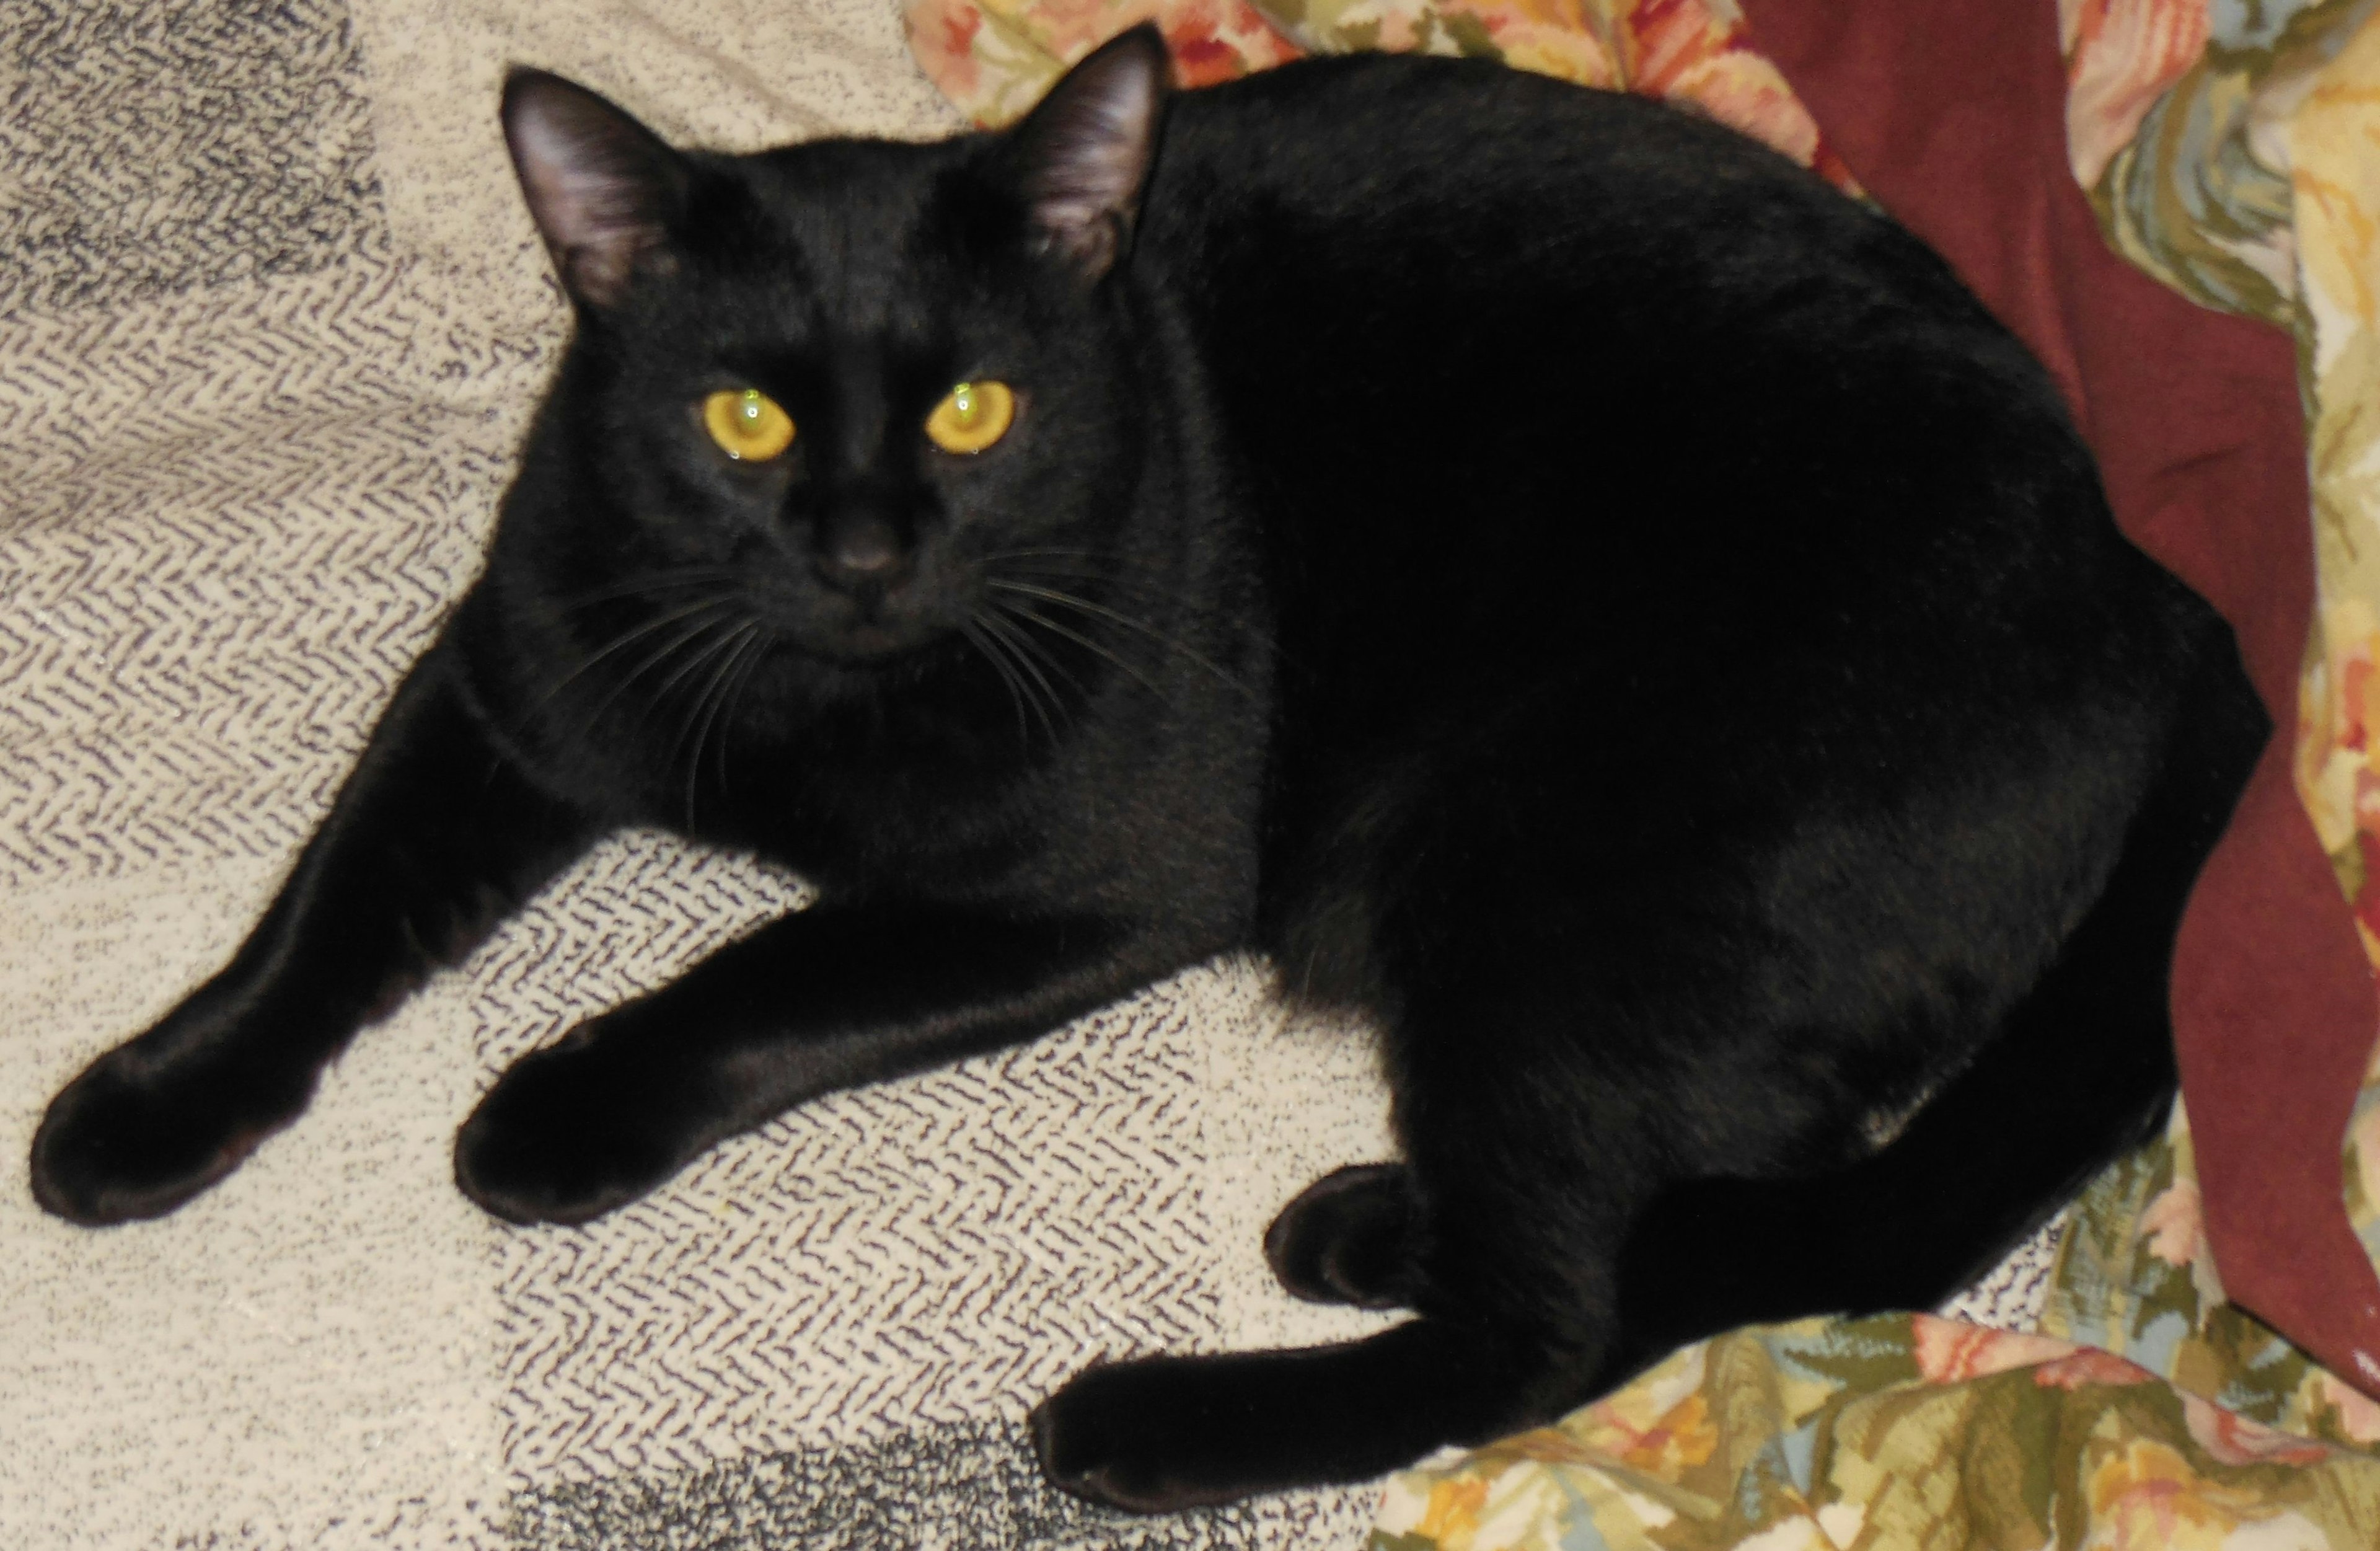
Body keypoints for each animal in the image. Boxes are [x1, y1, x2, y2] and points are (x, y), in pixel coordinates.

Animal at [37, 24, 2265, 1513]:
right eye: (746, 419)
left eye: (982, 407)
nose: (866, 546)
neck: (814, 687)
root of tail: (2168, 605)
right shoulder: (514, 677)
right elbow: (324, 902)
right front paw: (140, 1105)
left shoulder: (1099, 877)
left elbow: (763, 978)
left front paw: (552, 1111)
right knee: (1708, 1187)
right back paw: (1365, 1222)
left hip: (1552, 875)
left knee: (1559, 1317)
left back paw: (1154, 1413)